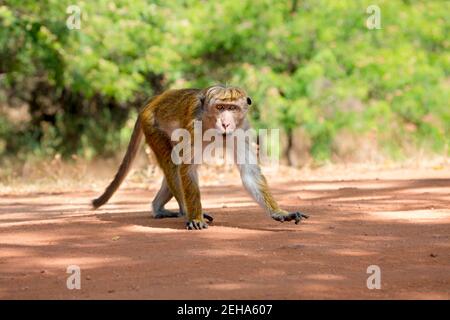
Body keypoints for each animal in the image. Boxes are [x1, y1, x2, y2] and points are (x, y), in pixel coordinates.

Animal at [92, 84, 310, 230]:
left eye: (232, 108)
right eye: (220, 108)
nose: (225, 123)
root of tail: (156, 99)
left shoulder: (241, 130)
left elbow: (249, 173)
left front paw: (279, 213)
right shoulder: (194, 125)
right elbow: (187, 169)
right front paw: (195, 217)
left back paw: (158, 208)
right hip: (152, 124)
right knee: (174, 165)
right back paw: (185, 212)